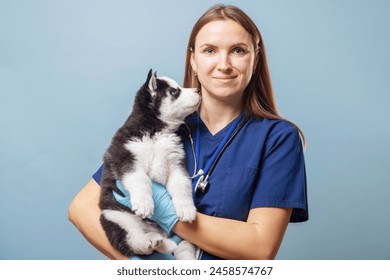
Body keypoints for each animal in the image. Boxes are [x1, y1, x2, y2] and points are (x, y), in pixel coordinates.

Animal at [99, 69, 200, 260]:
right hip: (114, 216)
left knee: (183, 248)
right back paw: (149, 241)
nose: (198, 89)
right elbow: (141, 180)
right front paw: (144, 204)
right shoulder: (126, 159)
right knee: (132, 240)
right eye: (174, 91)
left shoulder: (176, 164)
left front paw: (187, 208)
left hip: (183, 238)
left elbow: (182, 185)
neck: (156, 132)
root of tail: (159, 232)